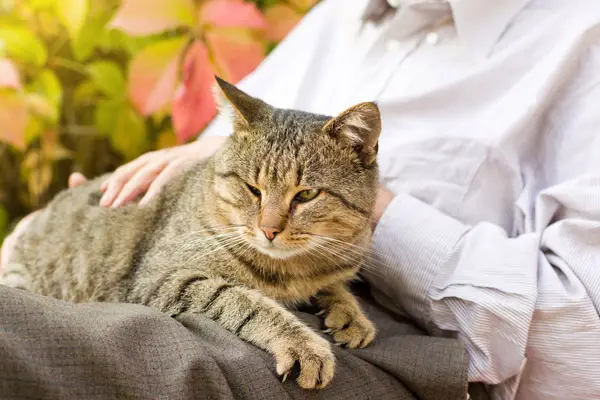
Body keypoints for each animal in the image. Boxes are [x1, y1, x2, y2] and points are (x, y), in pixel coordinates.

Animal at [1, 76, 384, 390]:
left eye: (306, 195)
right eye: (253, 189)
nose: (269, 230)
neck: (293, 269)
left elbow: (335, 286)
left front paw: (350, 314)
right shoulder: (163, 278)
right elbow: (245, 301)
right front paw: (303, 343)